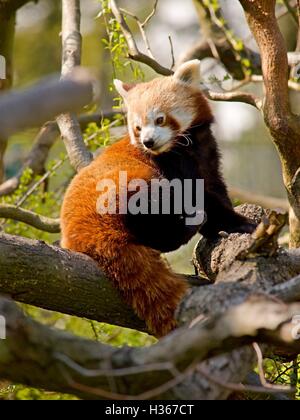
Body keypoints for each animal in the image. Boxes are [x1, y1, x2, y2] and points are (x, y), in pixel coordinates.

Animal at [61, 60, 255, 338]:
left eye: (160, 119)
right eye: (137, 127)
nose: (148, 142)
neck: (186, 146)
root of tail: (82, 235)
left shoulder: (208, 157)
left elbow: (216, 190)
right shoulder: (172, 166)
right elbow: (206, 200)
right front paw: (240, 224)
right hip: (124, 187)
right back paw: (190, 222)